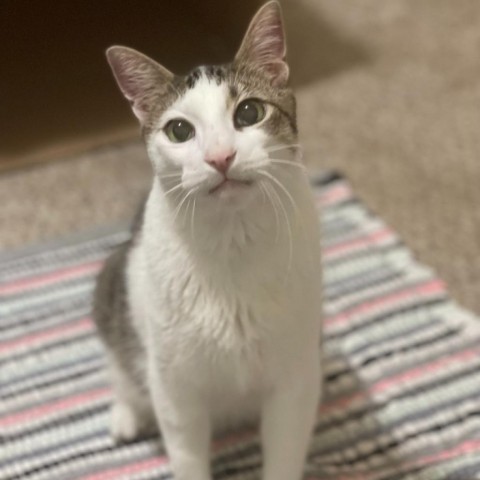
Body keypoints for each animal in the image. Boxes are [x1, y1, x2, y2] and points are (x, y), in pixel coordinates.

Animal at [93, 1, 322, 478]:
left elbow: (285, 449)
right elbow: (187, 453)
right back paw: (125, 414)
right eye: (179, 131)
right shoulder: (175, 388)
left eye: (249, 113)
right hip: (113, 285)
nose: (220, 157)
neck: (232, 241)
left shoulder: (294, 380)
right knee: (121, 368)